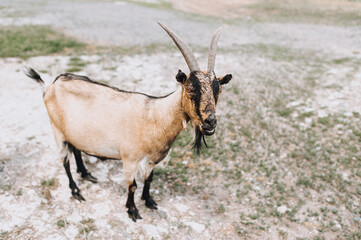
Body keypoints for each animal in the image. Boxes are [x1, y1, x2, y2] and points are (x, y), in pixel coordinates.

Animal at [26, 22, 233, 221]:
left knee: (76, 149)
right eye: (190, 89)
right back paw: (76, 191)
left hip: (73, 131)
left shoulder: (151, 161)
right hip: (57, 130)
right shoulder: (129, 159)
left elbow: (149, 180)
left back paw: (86, 174)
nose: (210, 122)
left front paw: (149, 201)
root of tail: (49, 86)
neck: (154, 116)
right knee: (65, 161)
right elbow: (132, 185)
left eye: (218, 90)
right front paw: (132, 210)